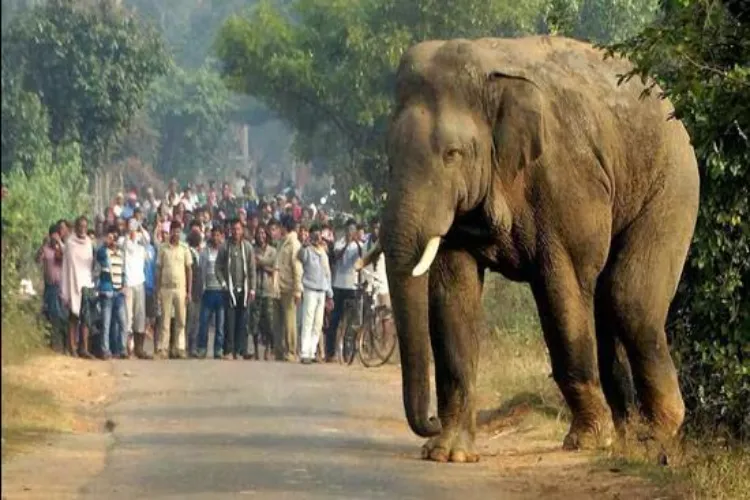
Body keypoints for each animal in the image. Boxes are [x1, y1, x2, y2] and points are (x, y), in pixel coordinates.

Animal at [379, 35, 700, 463]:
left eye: (452, 154)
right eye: (389, 156)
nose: (429, 421)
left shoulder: (564, 181)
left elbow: (561, 287)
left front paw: (586, 441)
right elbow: (452, 295)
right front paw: (449, 453)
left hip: (673, 187)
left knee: (628, 298)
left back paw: (656, 433)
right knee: (607, 299)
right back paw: (628, 437)